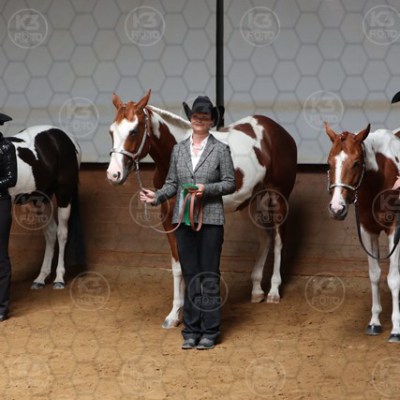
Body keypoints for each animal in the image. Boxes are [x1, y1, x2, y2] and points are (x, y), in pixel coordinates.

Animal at [7, 125, 84, 289]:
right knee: (50, 233)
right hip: (41, 199)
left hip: (64, 194)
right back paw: (41, 278)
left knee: (62, 233)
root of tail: (66, 136)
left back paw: (59, 278)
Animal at [107, 90, 297, 328]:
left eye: (134, 130)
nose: (113, 174)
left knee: (279, 241)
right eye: (111, 131)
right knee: (265, 239)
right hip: (250, 203)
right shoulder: (169, 219)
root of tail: (279, 131)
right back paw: (256, 291)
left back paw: (273, 292)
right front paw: (174, 315)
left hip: (279, 198)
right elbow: (178, 266)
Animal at [325, 121, 400, 342]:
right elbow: (374, 274)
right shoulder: (367, 230)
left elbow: (393, 279)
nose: (337, 208)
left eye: (357, 163)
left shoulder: (395, 229)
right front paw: (374, 322)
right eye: (329, 163)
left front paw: (396, 329)